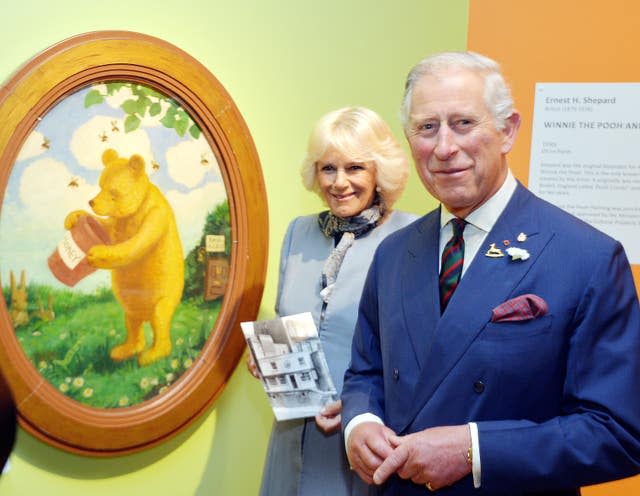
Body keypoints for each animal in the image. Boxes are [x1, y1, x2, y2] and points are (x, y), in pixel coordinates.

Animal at [65, 149, 184, 366]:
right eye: (100, 185)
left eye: (113, 192)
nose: (92, 202)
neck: (134, 209)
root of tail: (145, 315)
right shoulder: (119, 222)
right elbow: (106, 229)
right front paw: (75, 217)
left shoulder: (155, 215)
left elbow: (137, 244)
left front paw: (96, 253)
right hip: (131, 304)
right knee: (132, 322)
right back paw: (124, 350)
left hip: (165, 295)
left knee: (160, 318)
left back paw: (152, 354)